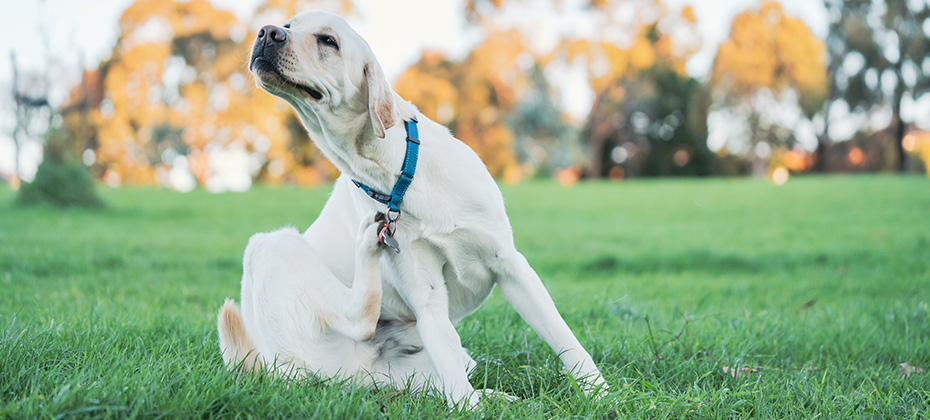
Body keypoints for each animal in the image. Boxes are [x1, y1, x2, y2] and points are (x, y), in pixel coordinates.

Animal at [219, 9, 608, 408]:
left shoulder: (511, 265)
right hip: (270, 245)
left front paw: (600, 395)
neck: (397, 176)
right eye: (287, 25)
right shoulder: (427, 297)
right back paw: (366, 244)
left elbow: (566, 340)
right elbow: (459, 391)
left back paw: (504, 398)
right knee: (360, 320)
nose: (266, 32)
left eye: (328, 40)